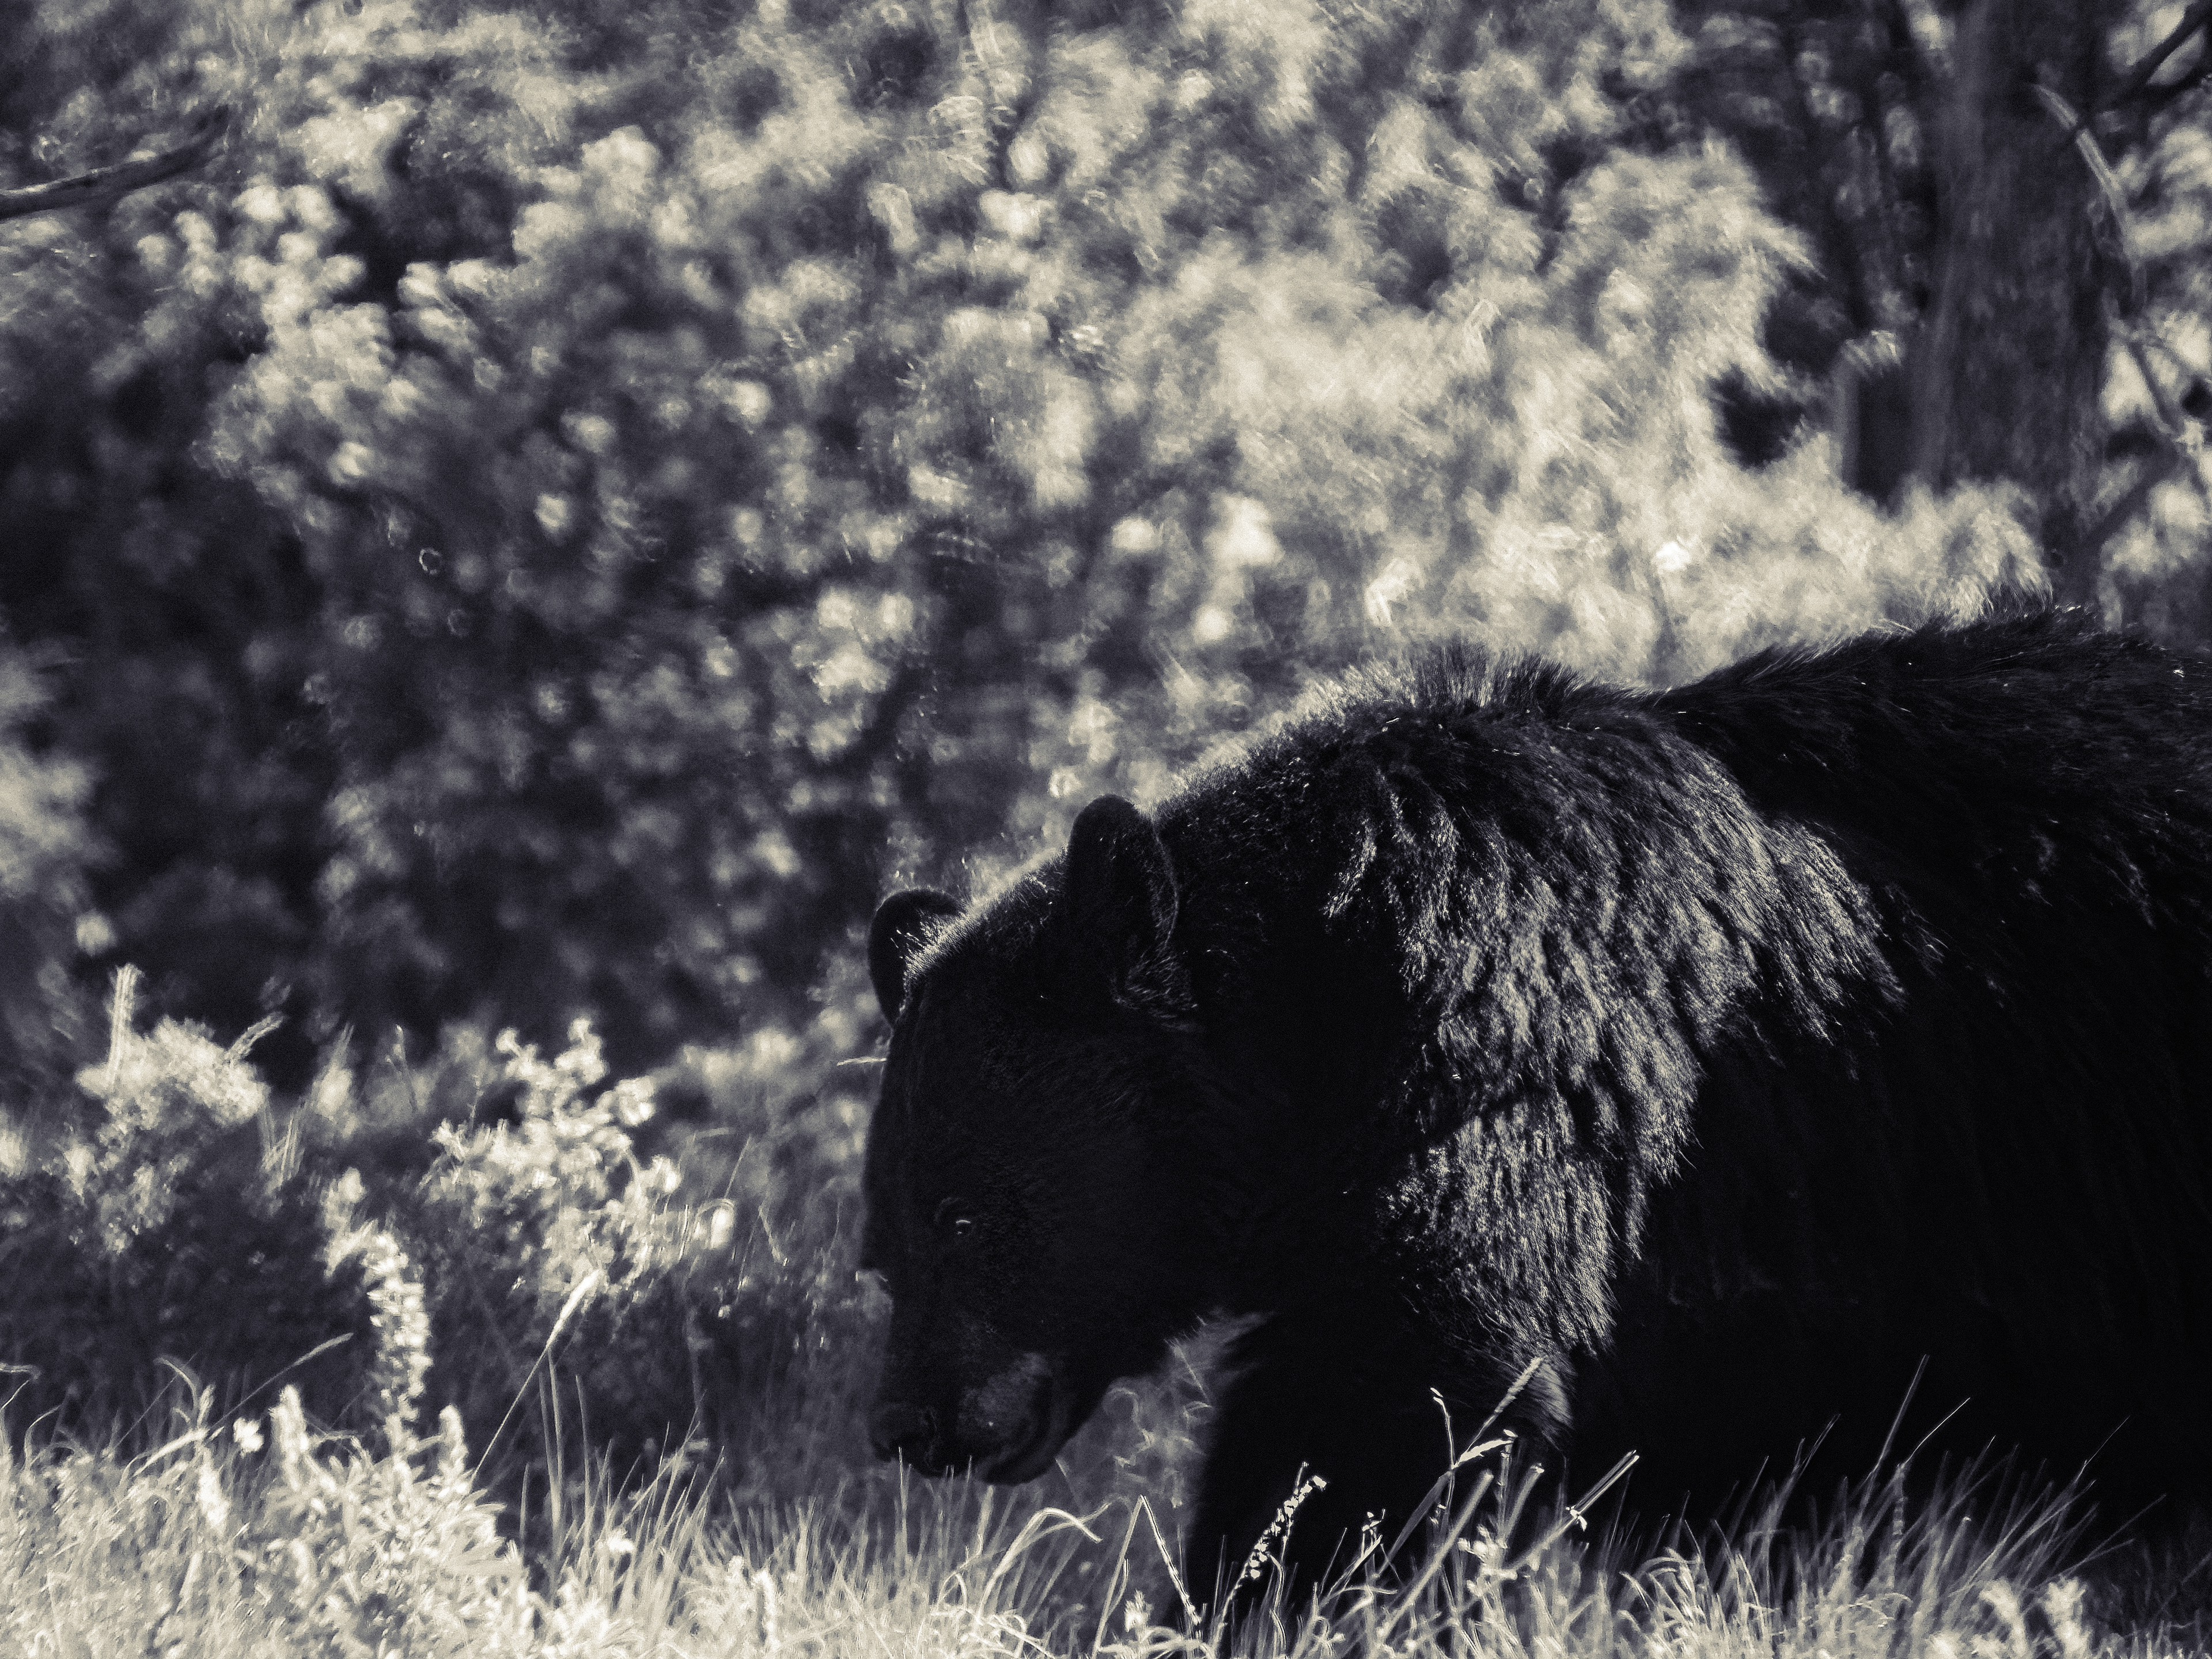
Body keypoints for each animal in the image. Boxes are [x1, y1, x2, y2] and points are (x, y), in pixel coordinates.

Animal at [859, 610, 2212, 1599]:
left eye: (969, 1217)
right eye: (882, 1248)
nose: (907, 1426)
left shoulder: (1513, 1077)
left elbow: (1406, 1368)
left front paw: (1267, 1595)